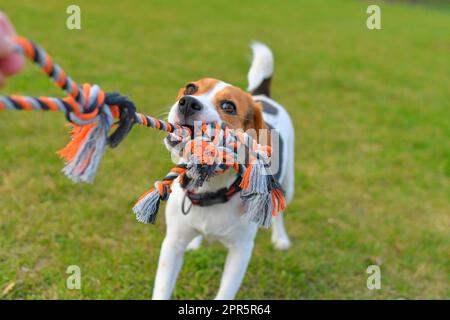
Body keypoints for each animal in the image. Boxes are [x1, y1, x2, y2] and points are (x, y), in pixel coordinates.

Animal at [152, 41, 296, 298]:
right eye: (191, 87)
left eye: (228, 106)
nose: (188, 102)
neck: (210, 189)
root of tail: (262, 97)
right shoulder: (172, 243)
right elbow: (162, 289)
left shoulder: (241, 251)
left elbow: (225, 293)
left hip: (288, 183)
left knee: (279, 211)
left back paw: (280, 238)